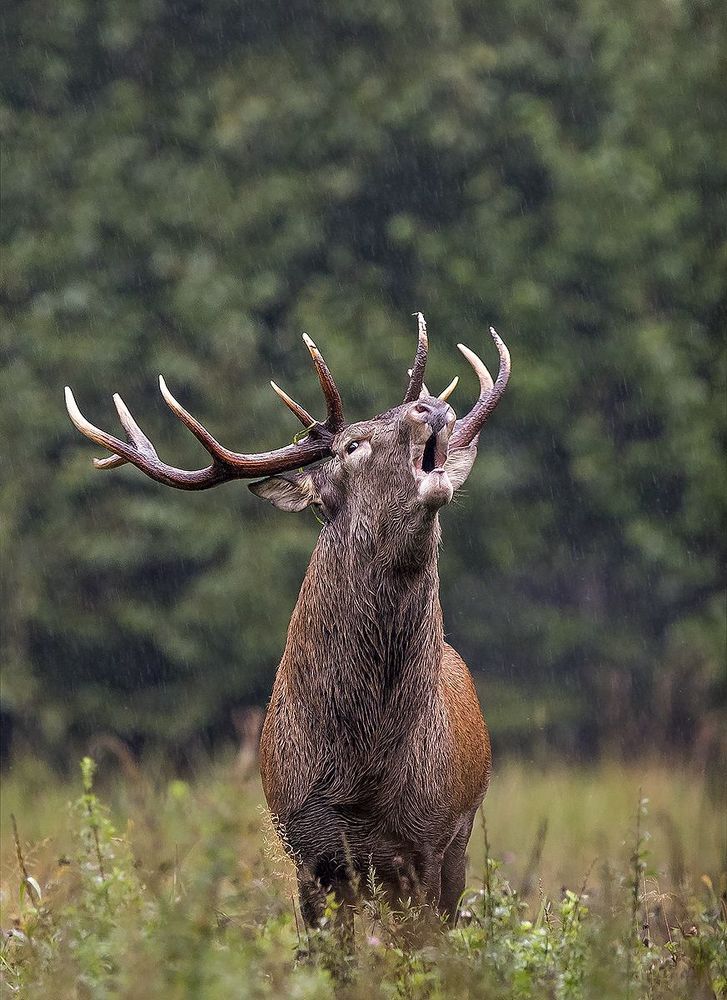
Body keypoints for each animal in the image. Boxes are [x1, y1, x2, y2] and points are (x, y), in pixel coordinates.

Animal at [65, 313, 510, 929]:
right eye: (351, 445)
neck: (360, 771)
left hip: (459, 842)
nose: (430, 407)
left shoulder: (426, 841)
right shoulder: (308, 848)